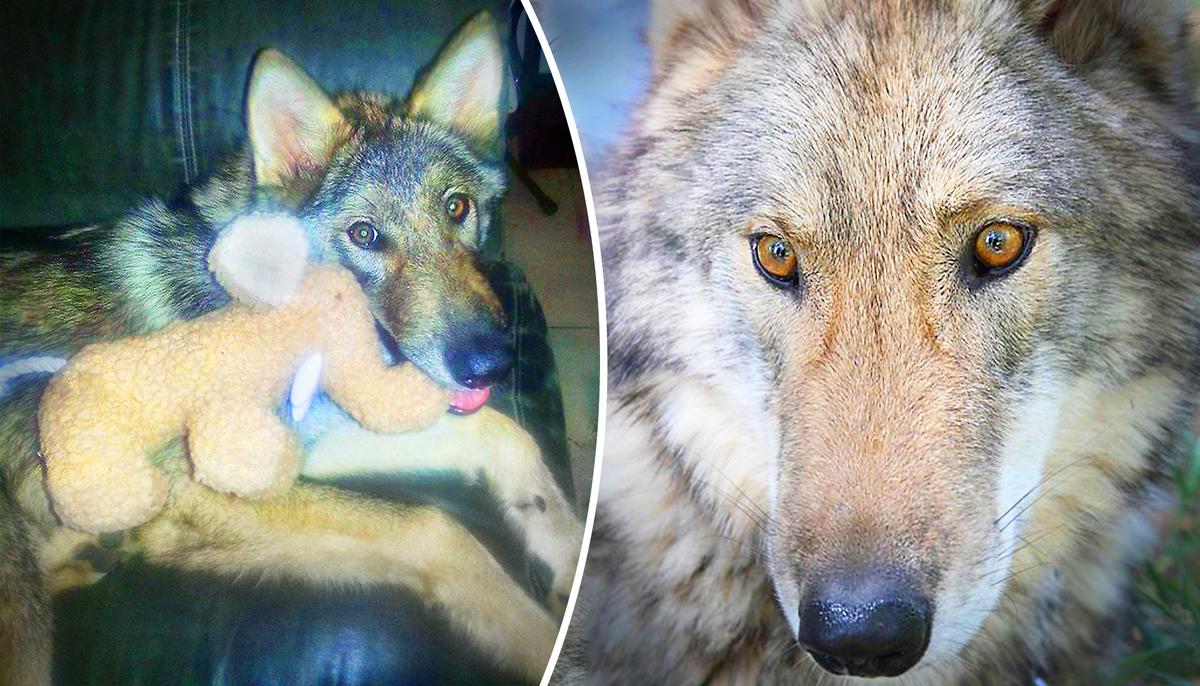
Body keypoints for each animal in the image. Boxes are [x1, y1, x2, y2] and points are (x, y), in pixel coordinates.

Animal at [0, 11, 581, 685]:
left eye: (457, 207)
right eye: (364, 235)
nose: (491, 364)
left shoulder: (312, 442)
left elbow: (504, 433)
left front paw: (570, 552)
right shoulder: (190, 490)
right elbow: (435, 526)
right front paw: (541, 640)